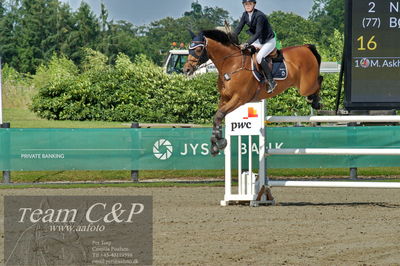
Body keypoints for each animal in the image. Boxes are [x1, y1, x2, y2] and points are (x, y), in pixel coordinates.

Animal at [183, 29, 324, 156]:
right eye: (189, 49)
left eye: (198, 49)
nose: (186, 69)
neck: (231, 64)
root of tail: (305, 47)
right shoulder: (225, 98)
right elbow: (217, 117)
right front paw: (216, 145)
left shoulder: (239, 98)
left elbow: (219, 115)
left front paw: (220, 143)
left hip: (305, 86)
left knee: (319, 80)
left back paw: (316, 102)